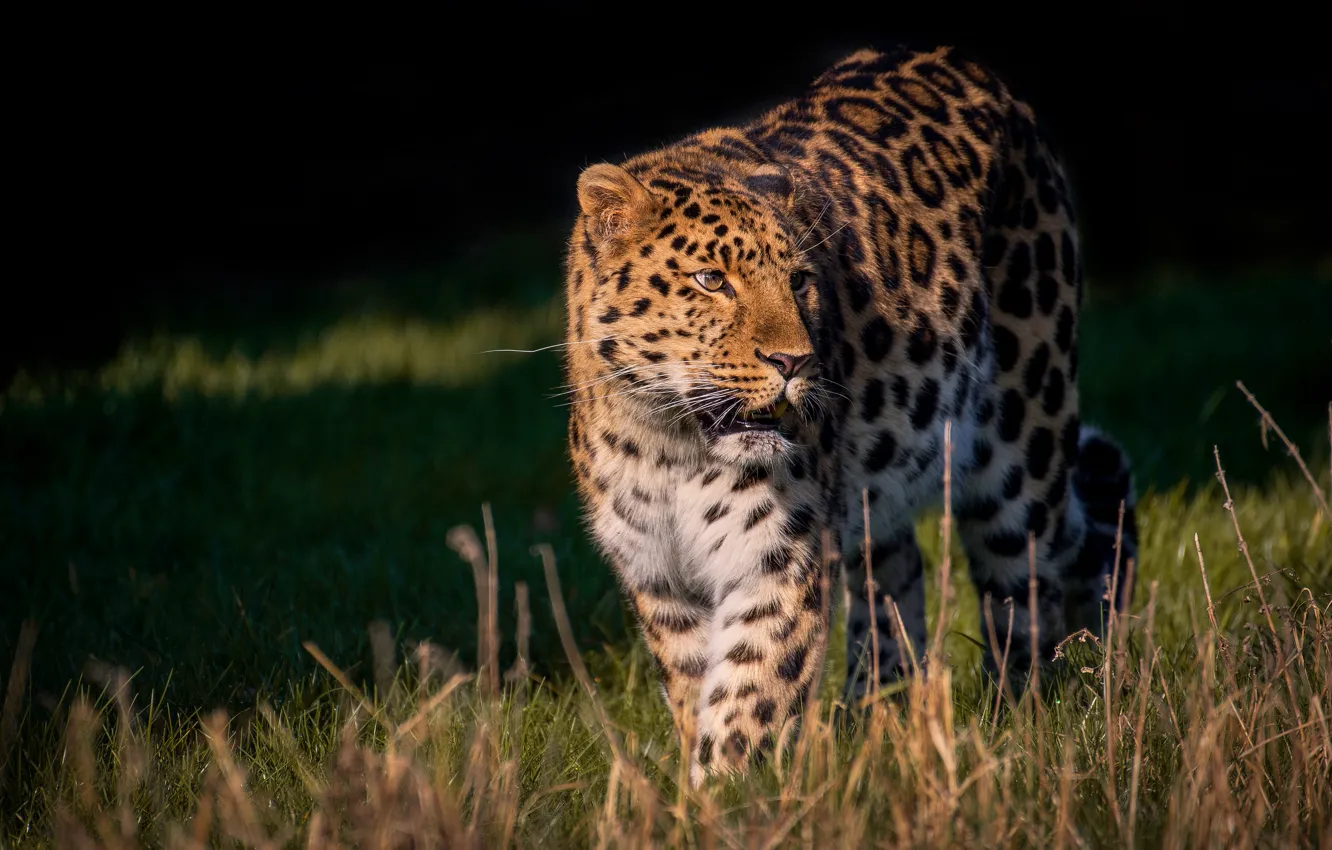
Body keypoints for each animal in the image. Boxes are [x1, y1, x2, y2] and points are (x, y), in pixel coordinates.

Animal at [561, 45, 1138, 786]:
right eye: (711, 281)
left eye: (800, 280)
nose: (794, 361)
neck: (671, 440)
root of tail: (974, 69)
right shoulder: (658, 576)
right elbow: (695, 691)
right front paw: (700, 794)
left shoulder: (777, 555)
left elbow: (748, 693)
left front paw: (725, 791)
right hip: (877, 487)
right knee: (898, 578)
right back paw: (873, 722)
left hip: (1022, 444)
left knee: (1026, 593)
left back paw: (1013, 723)